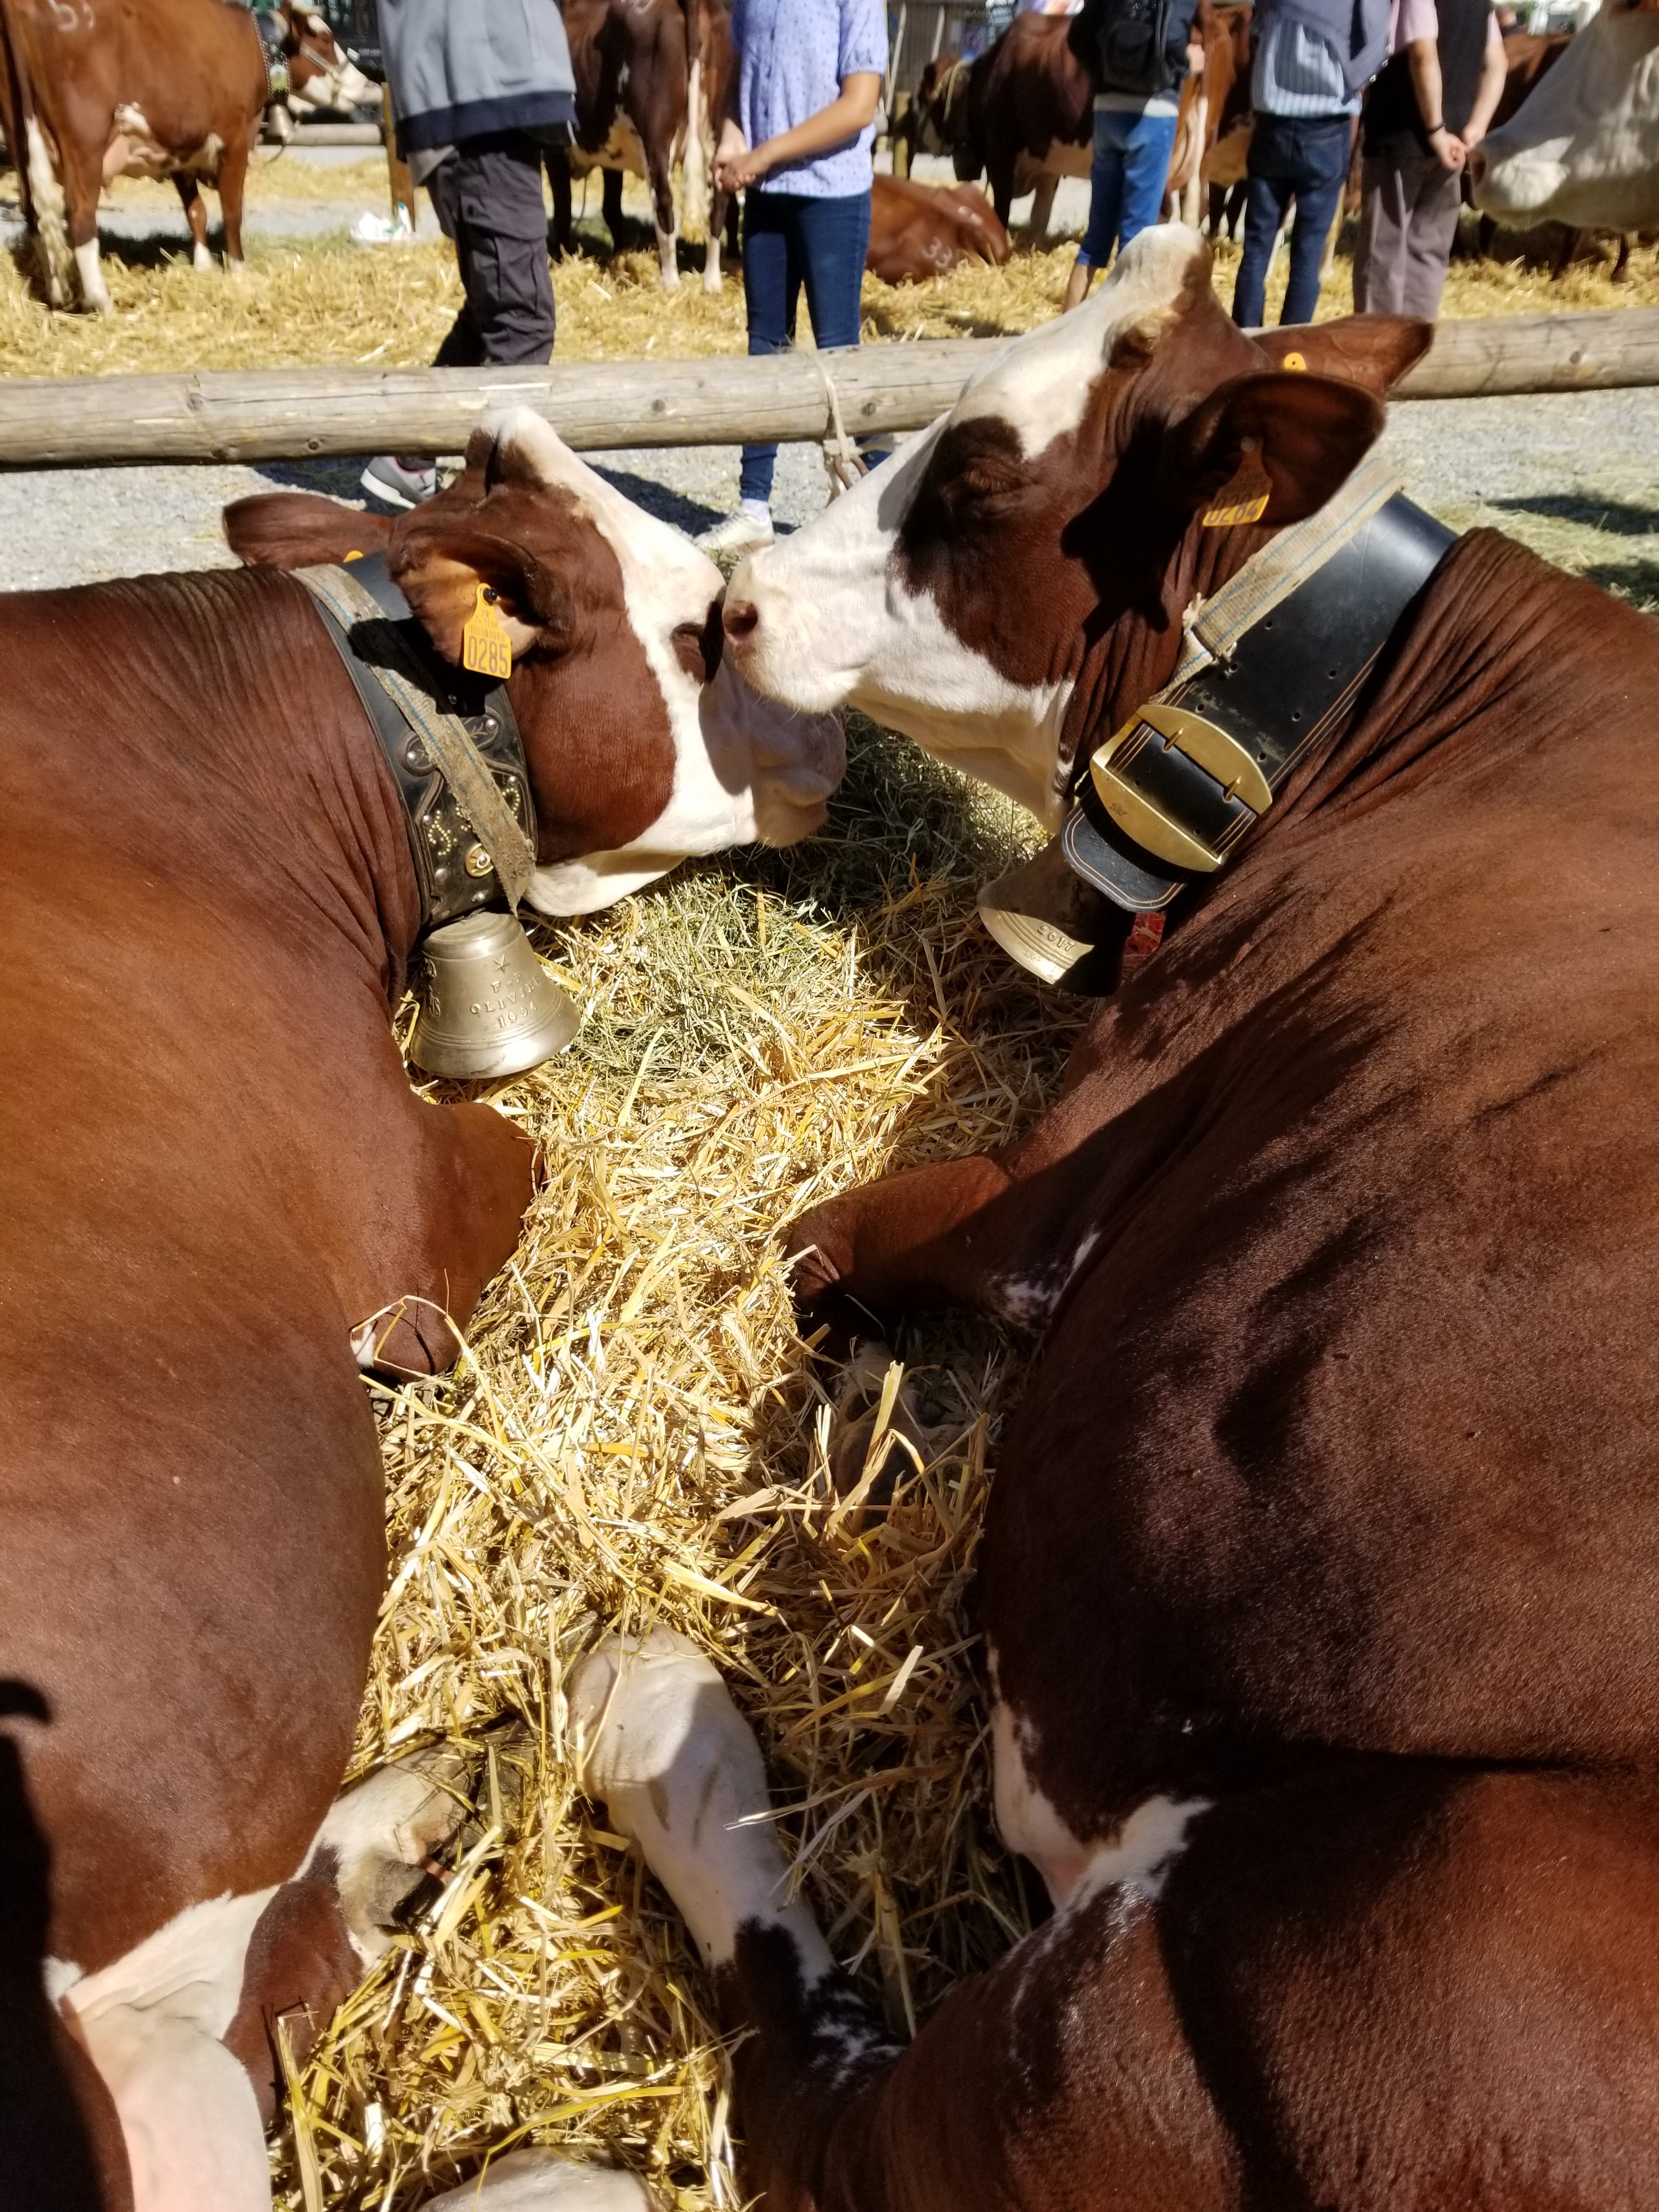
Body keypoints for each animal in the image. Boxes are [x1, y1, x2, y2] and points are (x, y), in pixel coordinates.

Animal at [0, 0, 276, 311]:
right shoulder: (236, 141)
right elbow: (232, 212)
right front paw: (239, 270)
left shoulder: (180, 153)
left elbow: (196, 211)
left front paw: (204, 266)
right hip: (84, 140)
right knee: (79, 214)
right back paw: (102, 302)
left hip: (19, 134)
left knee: (34, 211)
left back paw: (57, 293)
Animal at [547, 0, 694, 290]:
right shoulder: (611, 154)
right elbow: (612, 209)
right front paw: (620, 255)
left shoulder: (553, 149)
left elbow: (563, 210)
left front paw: (558, 260)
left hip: (657, 140)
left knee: (665, 204)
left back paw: (671, 282)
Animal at [560, 224, 1659, 2210]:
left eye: (982, 482)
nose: (734, 605)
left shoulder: (1046, 1190)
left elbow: (807, 1247)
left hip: (1233, 1990)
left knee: (833, 2123)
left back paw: (659, 1727)